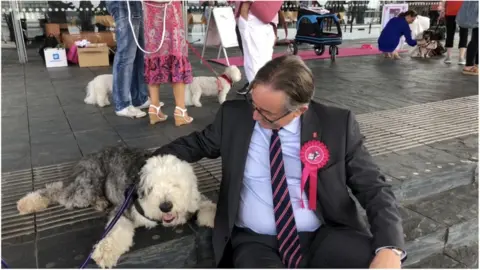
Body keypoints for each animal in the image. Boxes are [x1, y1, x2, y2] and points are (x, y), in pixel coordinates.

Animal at [16, 147, 216, 268]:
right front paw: (105, 252)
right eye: (151, 187)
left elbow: (205, 202)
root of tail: (88, 156)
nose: (165, 206)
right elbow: (117, 230)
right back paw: (29, 202)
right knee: (57, 190)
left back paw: (100, 202)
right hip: (85, 187)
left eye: (175, 184)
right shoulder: (123, 209)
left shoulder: (194, 200)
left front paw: (212, 216)